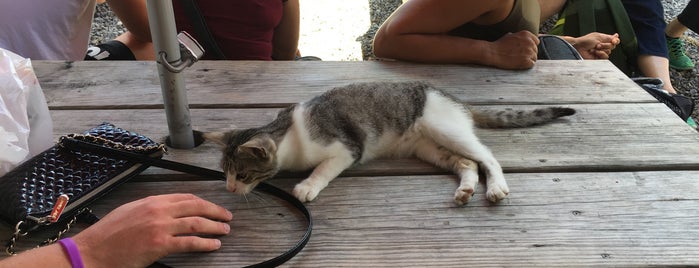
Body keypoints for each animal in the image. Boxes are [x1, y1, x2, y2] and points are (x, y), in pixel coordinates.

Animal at [201, 80, 576, 204]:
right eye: (226, 173)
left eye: (242, 175)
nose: (230, 189)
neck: (289, 131)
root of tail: (454, 99)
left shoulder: (346, 149)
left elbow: (324, 169)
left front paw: (307, 186)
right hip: (429, 146)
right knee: (466, 162)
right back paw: (466, 189)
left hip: (445, 129)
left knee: (487, 156)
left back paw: (496, 187)